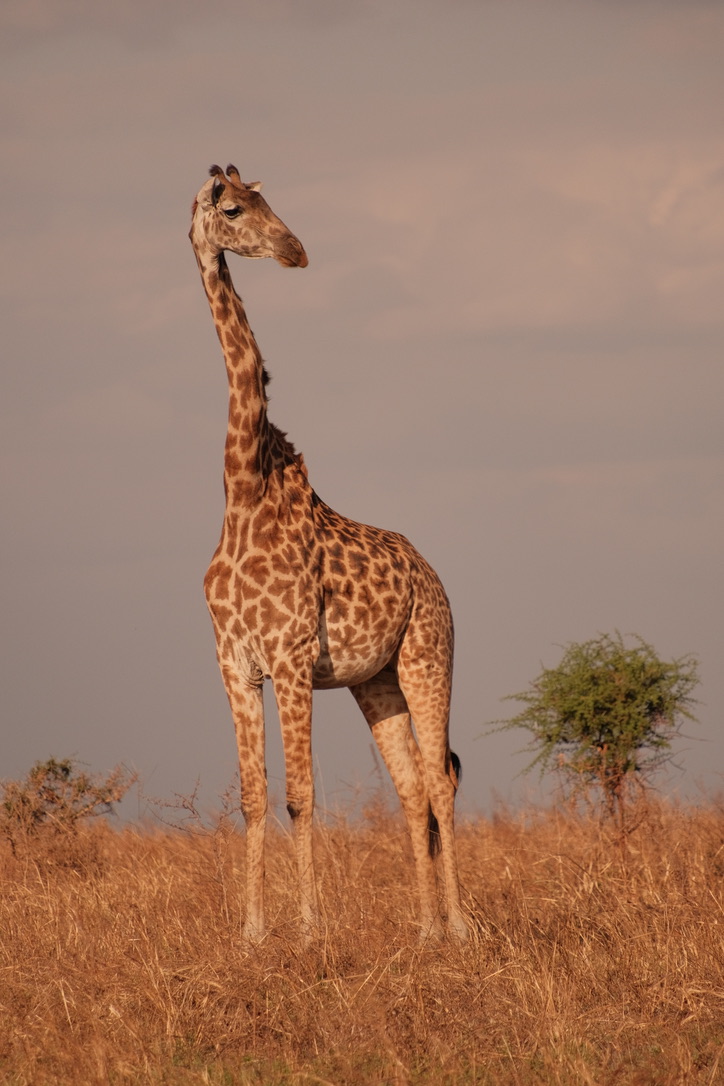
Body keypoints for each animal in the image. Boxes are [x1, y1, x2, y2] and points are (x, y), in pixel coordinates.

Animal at [189, 164, 469, 944]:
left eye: (266, 200)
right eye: (232, 208)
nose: (296, 250)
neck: (242, 493)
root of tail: (433, 576)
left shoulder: (287, 658)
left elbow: (300, 795)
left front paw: (310, 930)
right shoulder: (234, 665)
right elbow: (254, 797)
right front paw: (254, 934)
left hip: (428, 656)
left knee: (441, 780)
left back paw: (461, 927)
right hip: (376, 682)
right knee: (413, 787)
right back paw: (425, 929)